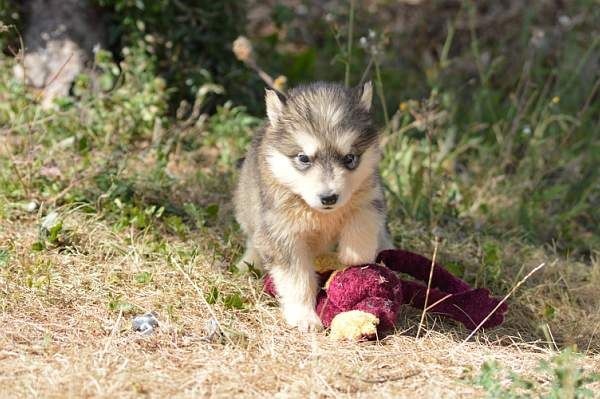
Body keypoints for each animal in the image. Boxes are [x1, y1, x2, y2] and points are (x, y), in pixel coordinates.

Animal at [232, 80, 392, 332]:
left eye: (349, 158)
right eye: (303, 158)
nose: (329, 198)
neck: (318, 212)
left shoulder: (371, 196)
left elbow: (362, 218)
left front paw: (355, 254)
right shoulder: (282, 234)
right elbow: (297, 279)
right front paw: (304, 316)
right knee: (254, 240)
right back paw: (248, 263)